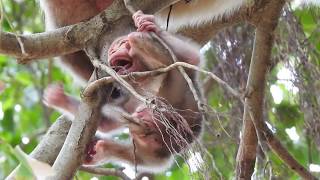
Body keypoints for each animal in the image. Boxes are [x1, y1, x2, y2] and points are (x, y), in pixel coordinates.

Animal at [43, 10, 202, 173]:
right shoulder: (130, 98)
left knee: (171, 72)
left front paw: (150, 25)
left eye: (121, 44)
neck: (145, 79)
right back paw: (103, 149)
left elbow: (191, 59)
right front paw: (58, 97)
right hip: (153, 154)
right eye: (113, 49)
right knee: (137, 155)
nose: (113, 50)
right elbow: (106, 124)